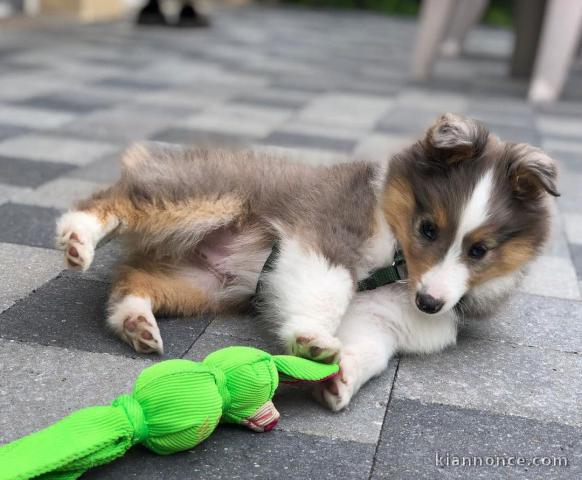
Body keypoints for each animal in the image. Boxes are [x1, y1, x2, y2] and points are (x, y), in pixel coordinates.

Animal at [56, 112, 560, 408]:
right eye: (428, 229)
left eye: (479, 250)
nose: (431, 304)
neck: (396, 269)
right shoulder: (324, 235)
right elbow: (329, 290)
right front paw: (312, 338)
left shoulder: (384, 321)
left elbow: (372, 350)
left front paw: (341, 379)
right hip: (206, 196)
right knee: (120, 198)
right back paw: (78, 235)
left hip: (203, 285)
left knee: (131, 278)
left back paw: (136, 322)